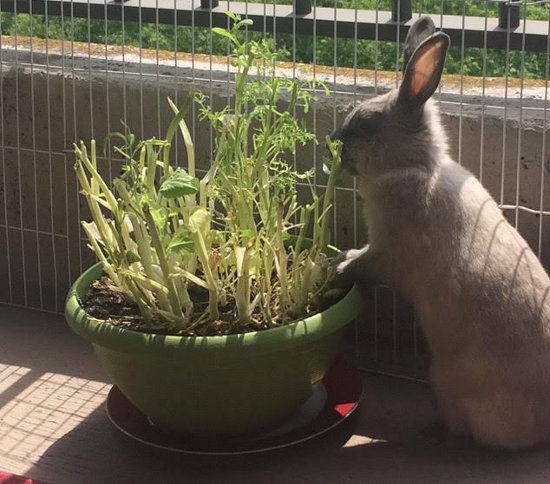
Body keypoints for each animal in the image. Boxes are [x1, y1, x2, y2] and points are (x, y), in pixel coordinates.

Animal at [334, 17, 550, 452]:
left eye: (365, 125)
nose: (335, 140)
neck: (414, 168)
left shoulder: (385, 253)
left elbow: (364, 263)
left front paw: (339, 266)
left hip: (446, 379)